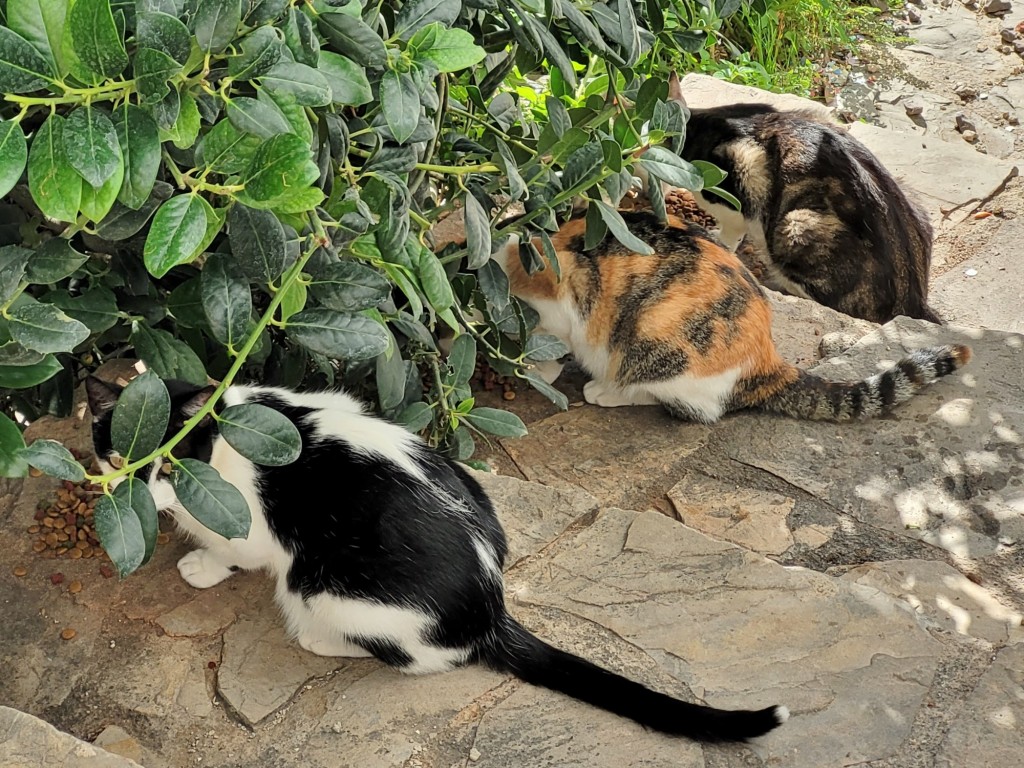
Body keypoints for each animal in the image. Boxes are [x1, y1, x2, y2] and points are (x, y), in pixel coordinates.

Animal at [86, 378, 790, 745]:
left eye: (170, 466)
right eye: (118, 457)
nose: (138, 493)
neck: (230, 420)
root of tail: (491, 608)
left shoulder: (254, 526)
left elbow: (234, 550)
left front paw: (201, 563)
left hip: (328, 586)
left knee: (420, 656)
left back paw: (319, 638)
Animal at [495, 210, 966, 423]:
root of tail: (766, 359)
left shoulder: (560, 312)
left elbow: (552, 342)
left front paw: (537, 368)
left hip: (654, 339)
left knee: (679, 400)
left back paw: (607, 390)